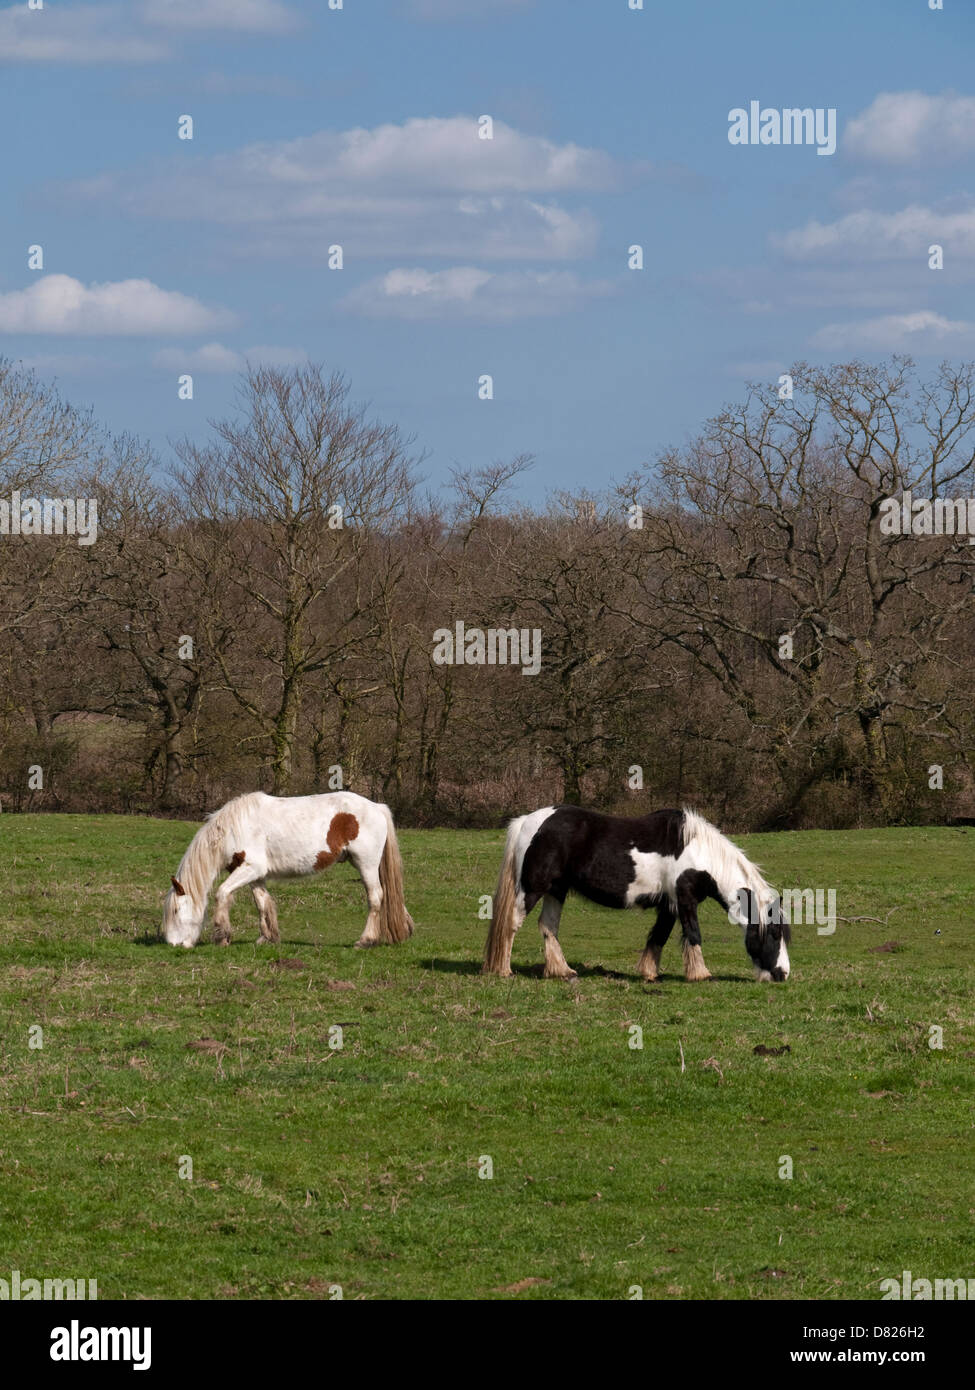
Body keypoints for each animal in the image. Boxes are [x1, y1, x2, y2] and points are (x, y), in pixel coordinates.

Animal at [161, 789, 411, 950]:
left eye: (176, 911)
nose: (174, 944)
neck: (233, 829)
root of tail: (377, 807)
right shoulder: (255, 874)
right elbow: (262, 903)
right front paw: (267, 938)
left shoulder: (251, 868)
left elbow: (222, 893)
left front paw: (222, 936)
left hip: (366, 864)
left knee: (376, 898)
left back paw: (366, 940)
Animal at [481, 811, 790, 984]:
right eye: (774, 934)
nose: (782, 974)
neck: (699, 853)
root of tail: (527, 822)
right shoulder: (685, 899)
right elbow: (693, 934)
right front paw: (701, 974)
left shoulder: (669, 905)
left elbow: (659, 937)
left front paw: (650, 973)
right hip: (532, 889)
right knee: (511, 923)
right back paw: (503, 970)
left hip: (557, 890)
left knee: (548, 926)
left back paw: (563, 971)